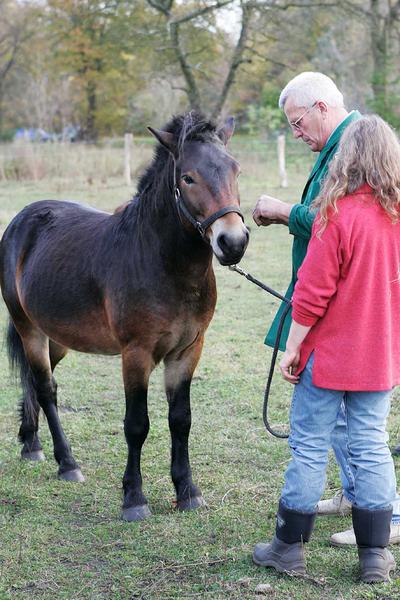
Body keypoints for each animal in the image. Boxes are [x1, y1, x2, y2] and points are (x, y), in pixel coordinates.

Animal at [0, 112, 248, 520]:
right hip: (28, 328)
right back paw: (67, 463)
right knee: (46, 388)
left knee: (37, 383)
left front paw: (187, 491)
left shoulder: (187, 352)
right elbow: (137, 424)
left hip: (58, 339)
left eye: (235, 170)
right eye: (188, 178)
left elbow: (181, 420)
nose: (233, 242)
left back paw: (30, 443)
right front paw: (134, 497)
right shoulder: (137, 353)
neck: (163, 264)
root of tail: (22, 220)